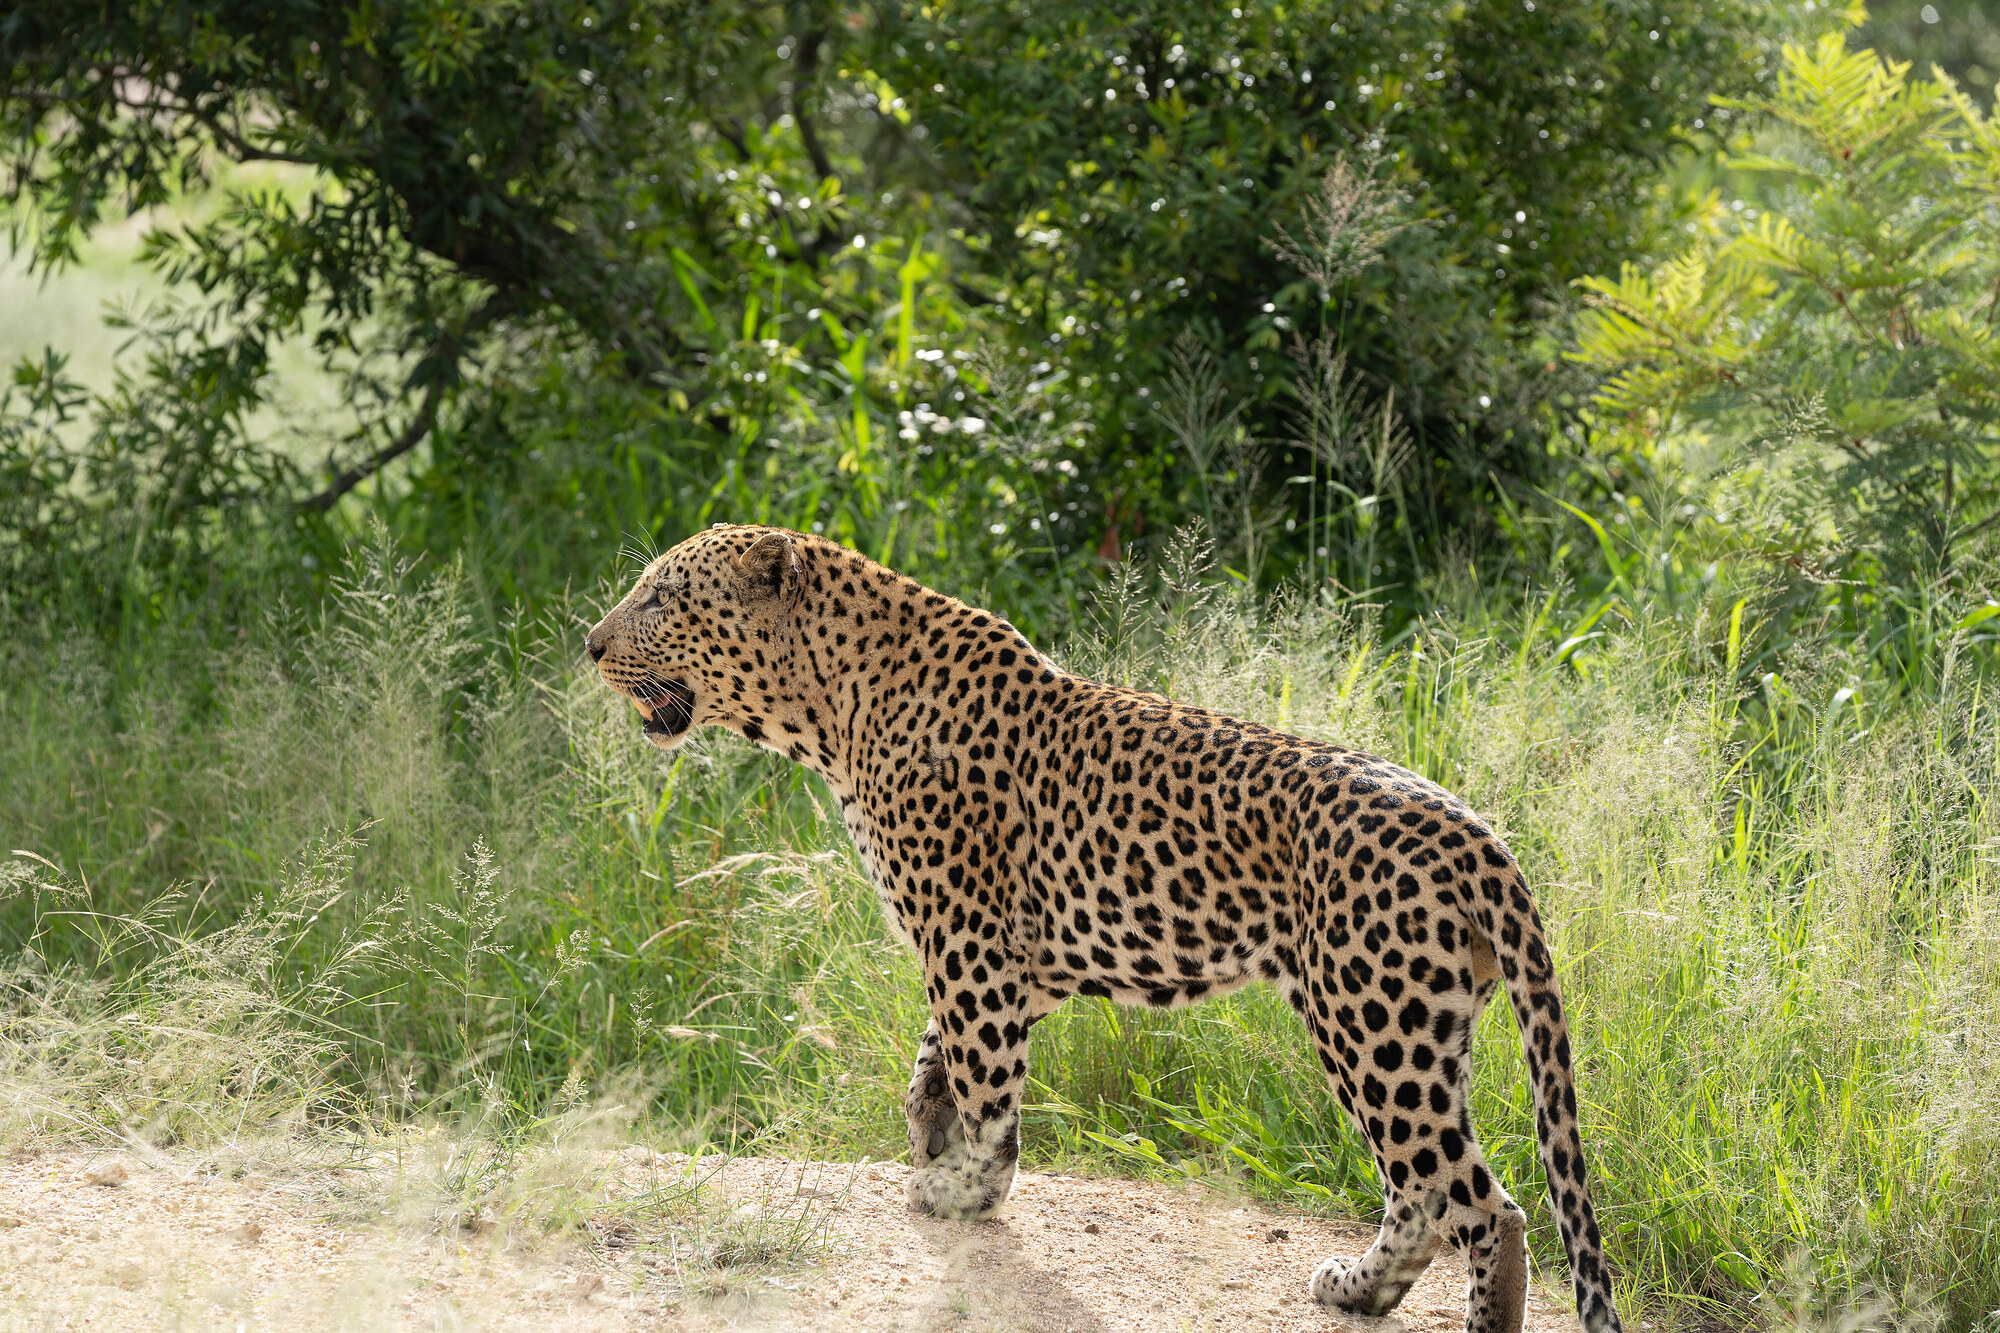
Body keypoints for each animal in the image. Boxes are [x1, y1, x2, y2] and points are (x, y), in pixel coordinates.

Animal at [586, 524, 1623, 1333]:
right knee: (1425, 1189)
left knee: (1482, 1204)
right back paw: (1356, 1289)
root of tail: (1480, 836)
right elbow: (938, 1059)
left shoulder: (968, 941)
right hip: (1420, 1030)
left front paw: (966, 1185)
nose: (591, 644)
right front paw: (932, 1131)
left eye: (662, 597)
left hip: (1375, 1025)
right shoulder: (1020, 956)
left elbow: (986, 1076)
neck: (832, 709)